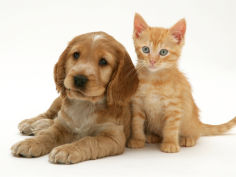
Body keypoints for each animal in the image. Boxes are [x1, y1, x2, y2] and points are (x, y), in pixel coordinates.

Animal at [11, 31, 138, 165]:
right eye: (76, 54)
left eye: (103, 61)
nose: (79, 79)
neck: (85, 104)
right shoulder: (62, 126)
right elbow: (48, 135)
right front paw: (30, 143)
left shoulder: (114, 137)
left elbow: (88, 140)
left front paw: (67, 149)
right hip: (58, 101)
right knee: (50, 114)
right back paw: (31, 123)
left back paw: (39, 126)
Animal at [128, 13, 236, 152]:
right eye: (146, 49)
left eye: (163, 52)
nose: (152, 61)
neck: (153, 80)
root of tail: (198, 123)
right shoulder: (137, 103)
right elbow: (136, 123)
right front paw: (137, 140)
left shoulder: (174, 106)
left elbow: (171, 126)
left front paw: (170, 144)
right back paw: (153, 136)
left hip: (190, 122)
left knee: (196, 133)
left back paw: (187, 138)